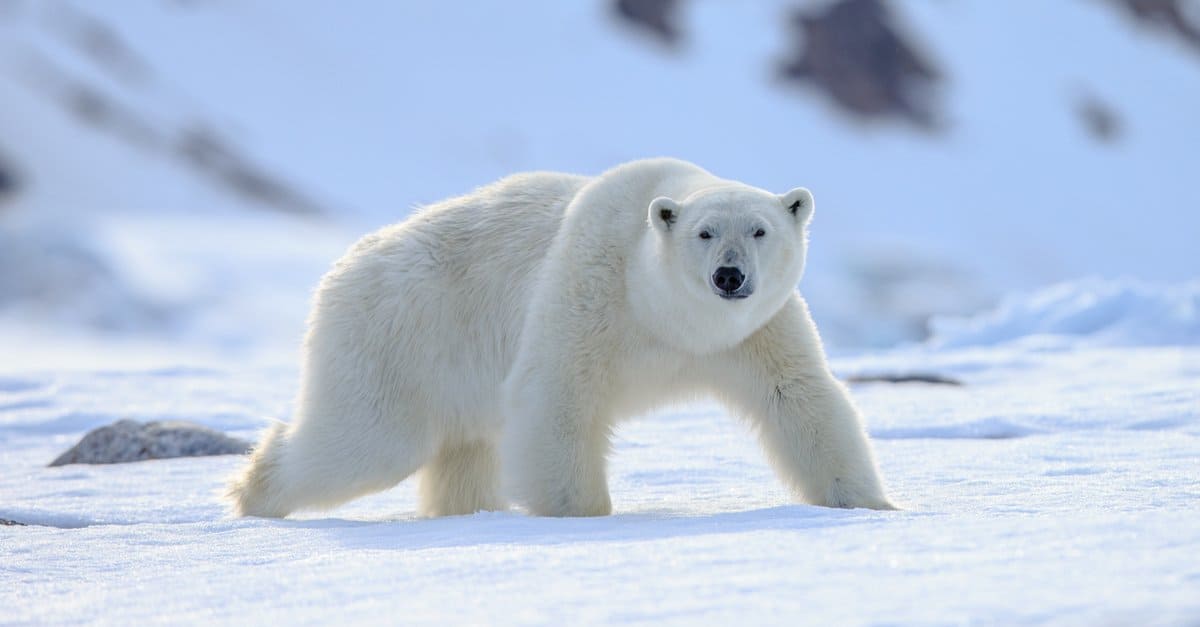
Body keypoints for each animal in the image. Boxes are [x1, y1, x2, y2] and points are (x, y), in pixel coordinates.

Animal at [227, 158, 895, 518]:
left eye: (760, 230)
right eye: (704, 233)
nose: (729, 277)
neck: (666, 316)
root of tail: (343, 267)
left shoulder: (755, 332)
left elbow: (799, 397)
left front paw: (870, 505)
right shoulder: (591, 286)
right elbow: (558, 395)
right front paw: (581, 515)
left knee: (463, 451)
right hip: (398, 335)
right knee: (367, 440)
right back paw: (253, 493)